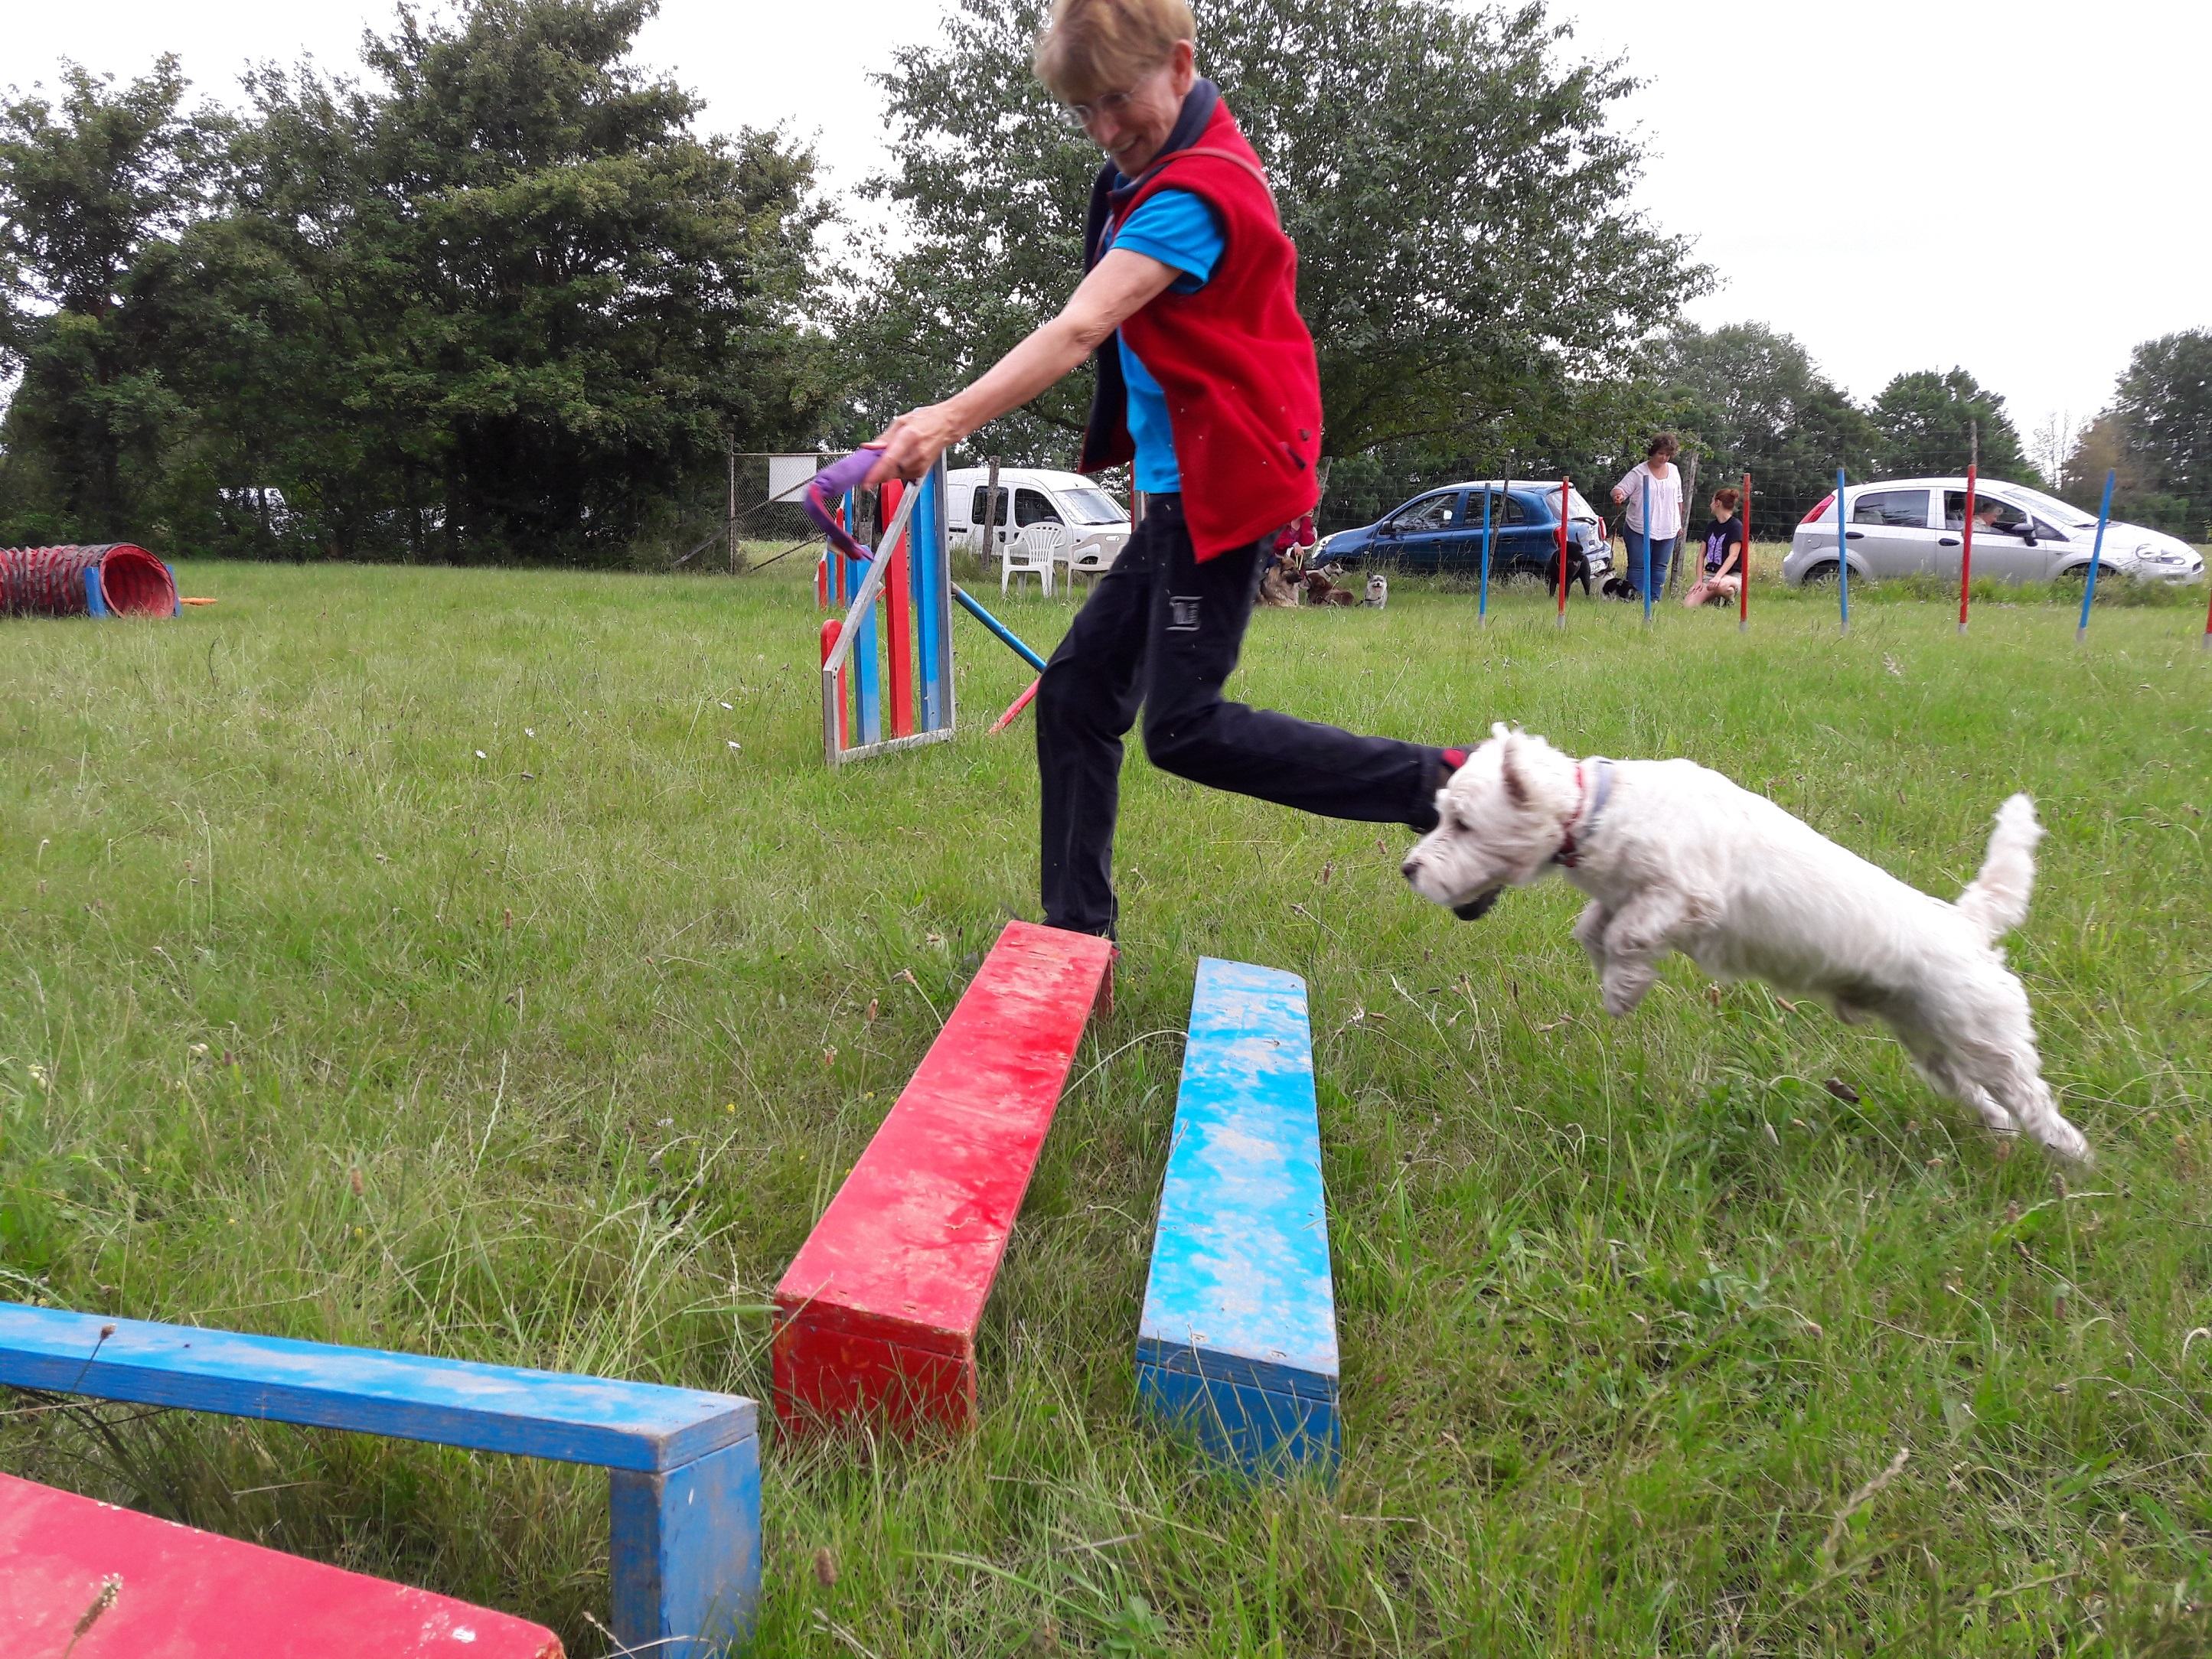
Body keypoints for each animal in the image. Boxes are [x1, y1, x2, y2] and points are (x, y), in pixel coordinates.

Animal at [1398, 725, 2088, 1168]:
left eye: (1463, 824)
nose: (1410, 869)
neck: (1595, 810)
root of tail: (1968, 926)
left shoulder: (1687, 895)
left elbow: (1626, 932)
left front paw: (1623, 988)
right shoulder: (1623, 895)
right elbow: (1593, 928)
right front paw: (1620, 979)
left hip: (1985, 1033)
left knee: (2030, 1096)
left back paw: (2072, 1156)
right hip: (1932, 1044)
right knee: (1978, 1093)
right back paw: (2001, 1131)